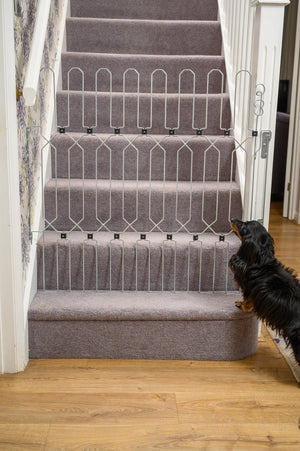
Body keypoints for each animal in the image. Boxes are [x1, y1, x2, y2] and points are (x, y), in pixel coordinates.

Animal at [229, 221, 300, 366]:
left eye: (243, 226)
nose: (232, 219)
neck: (261, 261)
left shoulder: (252, 289)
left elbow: (248, 300)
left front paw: (243, 306)